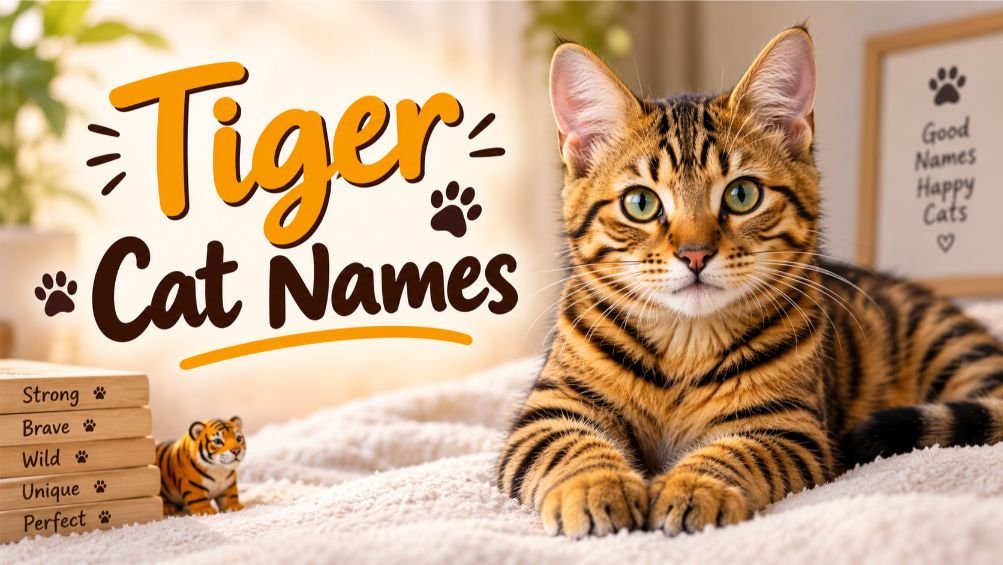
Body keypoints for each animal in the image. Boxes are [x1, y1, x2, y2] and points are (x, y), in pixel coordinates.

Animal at [496, 25, 1003, 538]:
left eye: (742, 195)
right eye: (640, 203)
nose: (695, 253)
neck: (684, 345)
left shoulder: (785, 426)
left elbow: (734, 452)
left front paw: (693, 487)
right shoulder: (550, 410)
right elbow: (574, 447)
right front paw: (596, 487)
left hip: (951, 348)